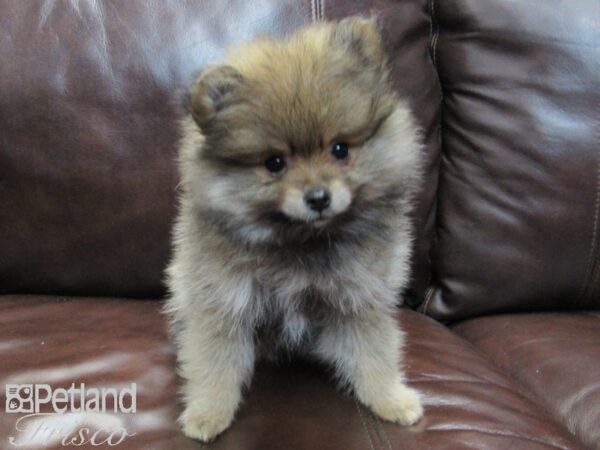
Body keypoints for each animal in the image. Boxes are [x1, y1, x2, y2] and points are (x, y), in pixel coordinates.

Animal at [166, 15, 424, 442]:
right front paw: (208, 413)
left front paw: (390, 398)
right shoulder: (224, 299)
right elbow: (215, 361)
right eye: (275, 163)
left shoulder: (360, 297)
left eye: (340, 149)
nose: (318, 197)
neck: (300, 240)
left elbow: (374, 352)